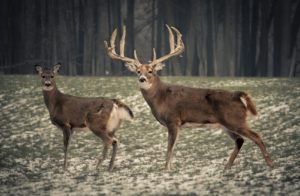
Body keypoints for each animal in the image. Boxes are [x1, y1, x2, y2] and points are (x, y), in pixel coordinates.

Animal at [105, 24, 274, 170]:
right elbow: (171, 151)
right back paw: (227, 168)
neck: (161, 98)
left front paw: (166, 170)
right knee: (240, 140)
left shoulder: (173, 120)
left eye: (151, 71)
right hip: (226, 124)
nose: (142, 79)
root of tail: (239, 95)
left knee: (256, 136)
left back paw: (271, 165)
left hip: (235, 119)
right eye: (138, 71)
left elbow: (169, 151)